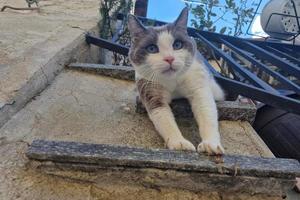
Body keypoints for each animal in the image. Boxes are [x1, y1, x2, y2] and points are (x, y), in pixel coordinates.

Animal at [127, 7, 224, 155]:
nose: (169, 58)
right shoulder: (151, 92)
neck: (172, 80)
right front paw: (179, 143)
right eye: (152, 48)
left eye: (177, 45)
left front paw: (210, 144)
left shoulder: (199, 88)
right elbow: (165, 120)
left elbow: (207, 114)